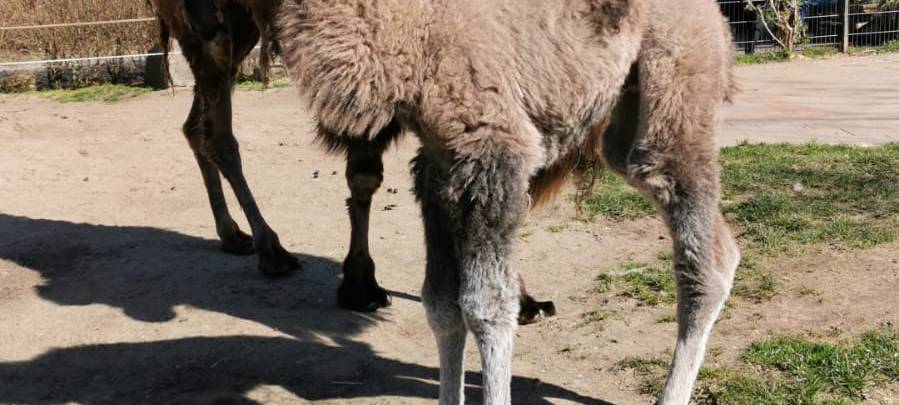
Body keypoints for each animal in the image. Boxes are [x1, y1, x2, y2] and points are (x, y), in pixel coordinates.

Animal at [147, 0, 555, 322]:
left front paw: (523, 299)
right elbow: (366, 173)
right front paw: (360, 285)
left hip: (236, 28)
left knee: (195, 127)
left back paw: (232, 235)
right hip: (209, 23)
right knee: (218, 134)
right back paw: (271, 250)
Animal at [278, 0, 740, 403]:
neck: (411, 31)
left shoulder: (492, 156)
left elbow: (487, 309)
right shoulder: (439, 173)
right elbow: (441, 305)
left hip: (680, 74)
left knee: (700, 248)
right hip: (624, 113)